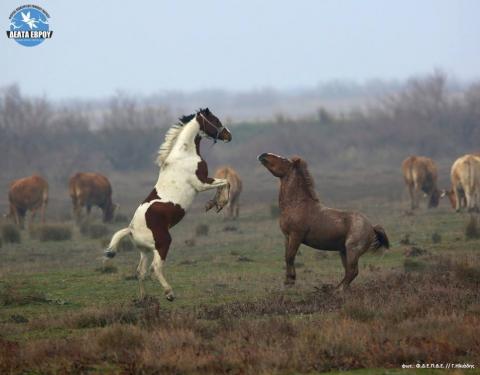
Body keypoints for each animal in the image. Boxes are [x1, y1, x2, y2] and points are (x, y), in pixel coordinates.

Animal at [104, 108, 232, 302]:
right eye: (215, 120)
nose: (228, 135)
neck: (184, 155)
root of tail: (131, 230)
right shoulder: (201, 183)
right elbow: (225, 182)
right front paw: (217, 203)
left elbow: (224, 182)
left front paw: (214, 204)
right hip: (162, 244)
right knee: (155, 268)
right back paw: (169, 293)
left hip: (145, 251)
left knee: (140, 272)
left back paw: (144, 299)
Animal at [256, 153, 388, 290]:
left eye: (284, 160)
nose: (263, 155)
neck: (297, 204)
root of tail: (372, 227)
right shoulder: (287, 237)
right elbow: (287, 257)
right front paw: (288, 281)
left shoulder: (296, 236)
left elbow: (290, 257)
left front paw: (291, 281)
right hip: (343, 251)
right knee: (349, 271)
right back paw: (337, 288)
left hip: (352, 250)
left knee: (352, 271)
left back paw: (338, 290)